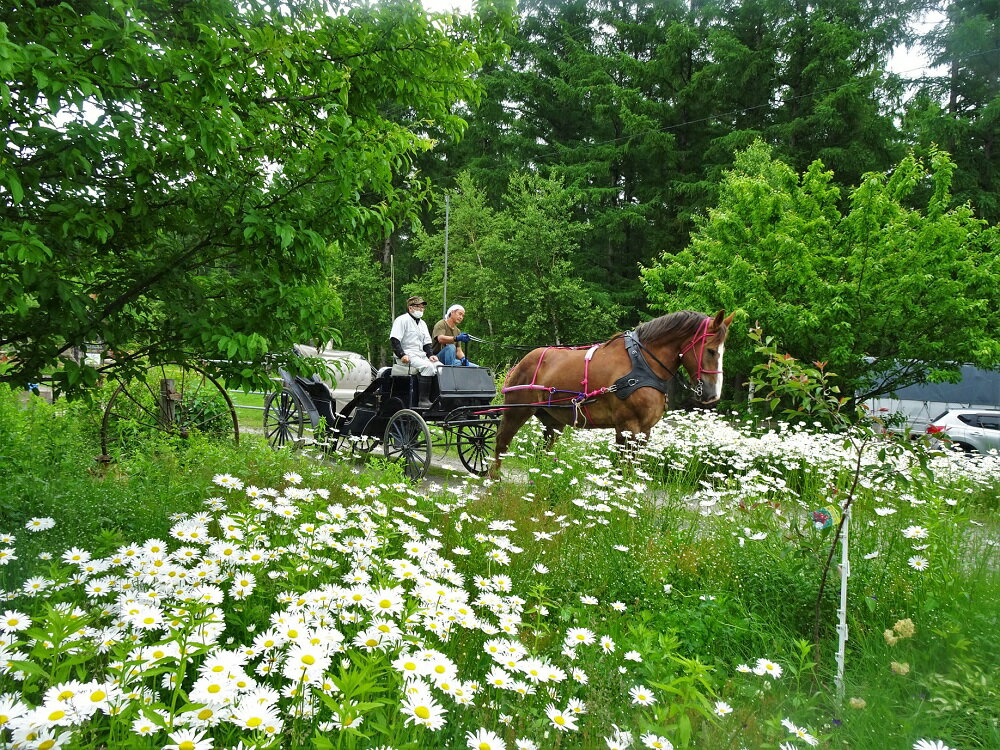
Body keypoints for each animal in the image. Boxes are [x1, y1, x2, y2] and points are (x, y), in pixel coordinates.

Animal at [488, 310, 732, 476]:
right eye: (711, 350)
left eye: (722, 350)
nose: (712, 394)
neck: (643, 364)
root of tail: (521, 362)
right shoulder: (627, 426)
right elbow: (623, 468)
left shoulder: (644, 431)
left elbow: (632, 469)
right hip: (517, 411)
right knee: (501, 443)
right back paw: (494, 478)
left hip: (552, 421)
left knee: (541, 450)